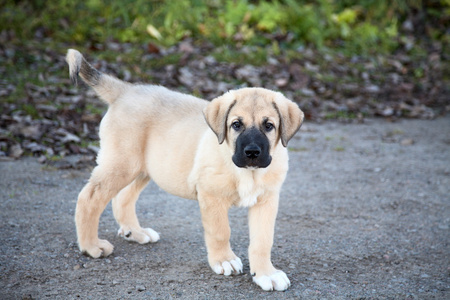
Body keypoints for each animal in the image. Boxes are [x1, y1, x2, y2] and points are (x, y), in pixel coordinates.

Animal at [65, 49, 304, 290]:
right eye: (236, 125)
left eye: (269, 126)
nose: (252, 152)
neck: (248, 172)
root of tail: (126, 91)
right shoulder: (212, 197)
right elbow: (221, 232)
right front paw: (224, 260)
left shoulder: (267, 200)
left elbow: (263, 241)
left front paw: (265, 273)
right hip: (121, 164)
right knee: (89, 198)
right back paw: (91, 246)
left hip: (142, 169)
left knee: (123, 197)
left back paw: (135, 232)